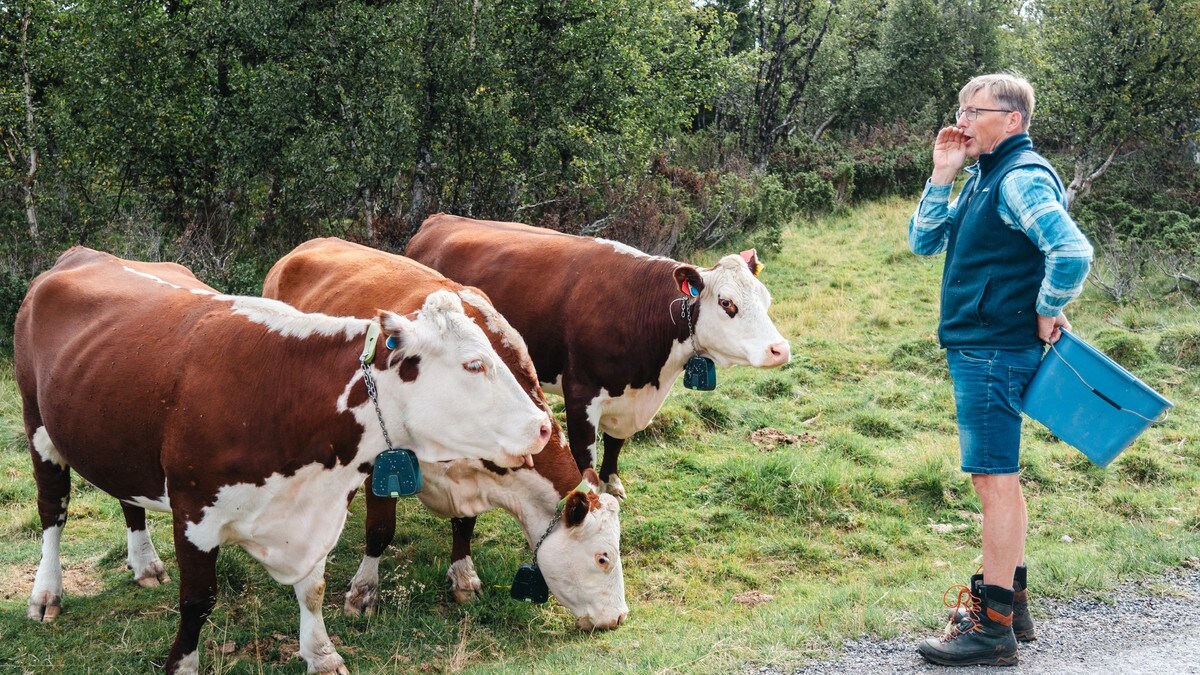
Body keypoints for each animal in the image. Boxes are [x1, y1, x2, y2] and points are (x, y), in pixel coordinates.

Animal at [16, 247, 549, 672]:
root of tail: (82, 253)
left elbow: (312, 587)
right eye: (474, 365)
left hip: (118, 437)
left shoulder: (318, 510)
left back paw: (145, 564)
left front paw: (322, 654)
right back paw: (46, 592)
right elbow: (197, 601)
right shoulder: (193, 512)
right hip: (38, 429)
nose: (543, 426)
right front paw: (182, 664)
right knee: (52, 512)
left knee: (129, 498)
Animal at [265, 237, 628, 629]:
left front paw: (464, 577)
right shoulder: (383, 461)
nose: (618, 617)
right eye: (603, 557)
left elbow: (464, 525)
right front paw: (363, 592)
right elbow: (380, 529)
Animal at [408, 213, 792, 494]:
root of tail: (438, 219)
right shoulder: (581, 393)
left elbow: (616, 442)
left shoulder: (629, 400)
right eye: (727, 303)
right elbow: (585, 452)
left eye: (766, 298)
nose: (780, 349)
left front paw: (612, 481)